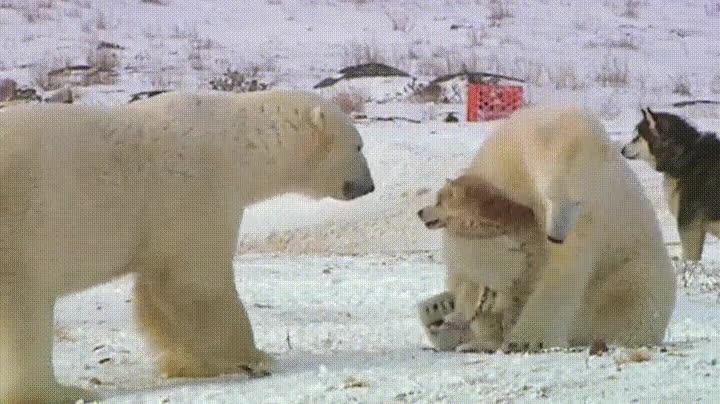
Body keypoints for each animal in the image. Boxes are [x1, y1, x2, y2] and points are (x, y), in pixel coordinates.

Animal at [0, 89, 374, 403]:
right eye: (358, 146)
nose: (369, 186)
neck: (239, 144)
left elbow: (159, 291)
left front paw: (184, 362)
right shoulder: (199, 191)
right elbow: (197, 284)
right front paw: (251, 357)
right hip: (20, 233)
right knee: (25, 313)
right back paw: (59, 391)